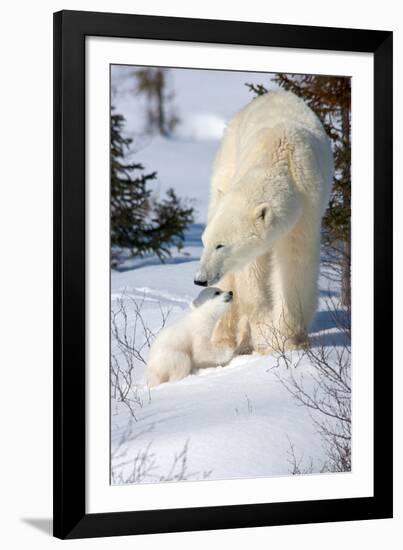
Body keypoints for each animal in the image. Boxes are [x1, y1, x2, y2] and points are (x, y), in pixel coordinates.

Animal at [194, 91, 332, 354]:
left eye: (220, 245)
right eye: (205, 242)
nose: (200, 279)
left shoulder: (306, 210)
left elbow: (294, 266)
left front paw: (288, 339)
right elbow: (251, 275)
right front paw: (267, 336)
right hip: (226, 162)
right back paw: (224, 338)